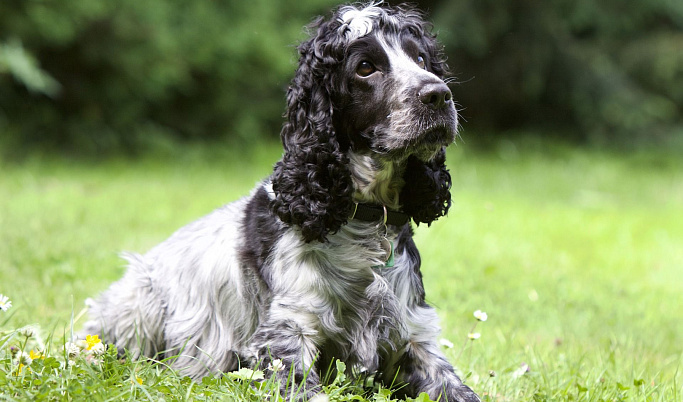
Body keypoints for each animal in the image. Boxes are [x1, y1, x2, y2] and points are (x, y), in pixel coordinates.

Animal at [84, 3, 480, 402]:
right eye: (366, 67)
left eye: (421, 59)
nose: (438, 95)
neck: (364, 222)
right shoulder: (287, 337)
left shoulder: (413, 336)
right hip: (139, 306)